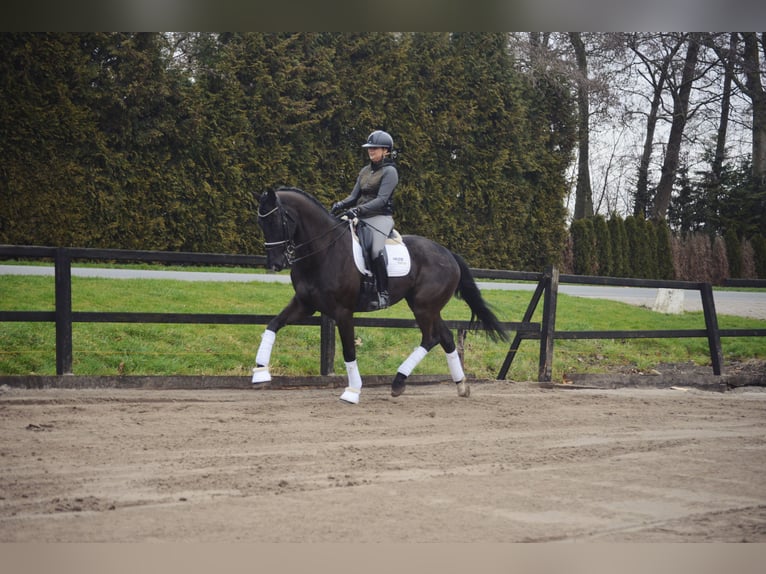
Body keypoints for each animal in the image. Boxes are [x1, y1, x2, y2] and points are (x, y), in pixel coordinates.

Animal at [252, 188, 512, 404]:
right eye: (260, 222)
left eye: (276, 219)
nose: (274, 264)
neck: (323, 251)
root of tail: (448, 254)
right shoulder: (304, 304)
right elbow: (272, 324)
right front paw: (260, 372)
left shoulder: (342, 312)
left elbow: (349, 350)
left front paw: (353, 391)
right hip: (427, 307)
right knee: (445, 338)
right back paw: (461, 386)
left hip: (423, 307)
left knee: (430, 338)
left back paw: (398, 382)